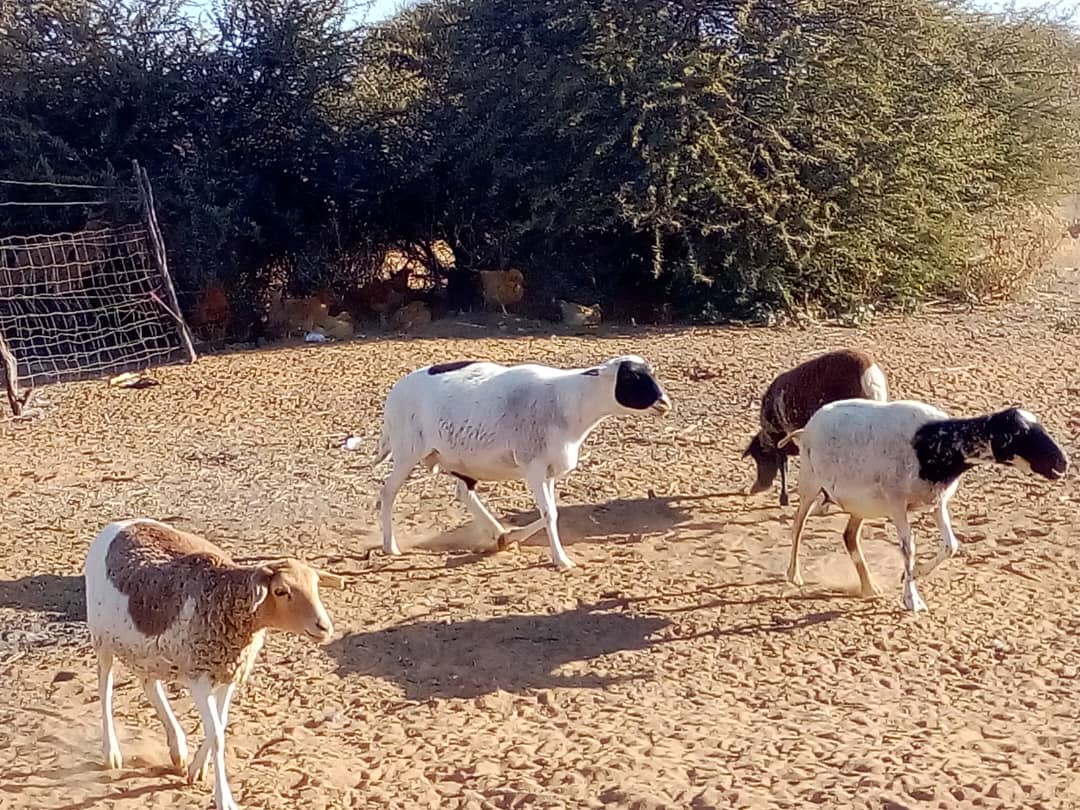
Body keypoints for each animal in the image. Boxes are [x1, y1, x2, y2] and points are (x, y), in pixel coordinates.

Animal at [84, 520, 345, 810]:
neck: (226, 596)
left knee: (149, 685)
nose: (324, 627)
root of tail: (118, 526)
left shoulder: (227, 672)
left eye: (316, 587)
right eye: (281, 591)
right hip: (102, 638)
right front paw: (224, 798)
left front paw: (196, 769)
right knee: (105, 688)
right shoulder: (199, 676)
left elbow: (219, 726)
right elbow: (218, 736)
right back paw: (111, 751)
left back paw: (177, 748)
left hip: (146, 651)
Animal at [375, 354, 669, 570]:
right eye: (631, 377)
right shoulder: (534, 467)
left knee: (463, 493)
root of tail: (396, 390)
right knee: (387, 493)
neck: (569, 404)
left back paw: (497, 533)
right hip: (407, 451)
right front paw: (562, 561)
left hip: (457, 458)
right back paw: (391, 546)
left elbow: (552, 512)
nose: (664, 403)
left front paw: (512, 537)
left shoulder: (549, 471)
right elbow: (549, 513)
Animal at [777, 399, 1071, 613]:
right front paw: (912, 599)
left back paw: (869, 587)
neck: (934, 443)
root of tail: (806, 428)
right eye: (1019, 432)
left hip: (861, 505)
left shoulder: (937, 502)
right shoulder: (897, 504)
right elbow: (908, 550)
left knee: (849, 536)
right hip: (809, 483)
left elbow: (951, 546)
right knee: (797, 525)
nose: (1062, 462)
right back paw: (794, 574)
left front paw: (913, 576)